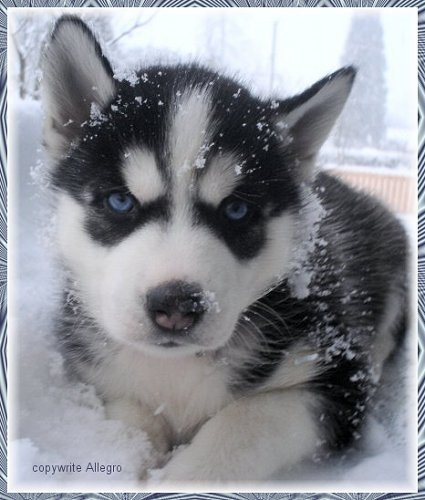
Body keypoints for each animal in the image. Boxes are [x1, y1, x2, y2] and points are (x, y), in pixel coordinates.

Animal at [40, 16, 408, 484]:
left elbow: (250, 420)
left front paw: (181, 477)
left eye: (236, 210)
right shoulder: (99, 377)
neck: (176, 369)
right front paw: (131, 455)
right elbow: (130, 414)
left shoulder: (338, 379)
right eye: (120, 201)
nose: (176, 305)